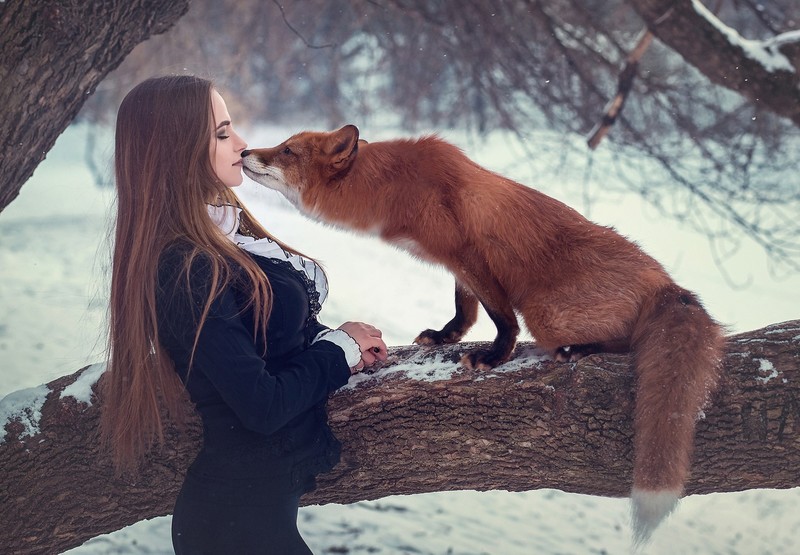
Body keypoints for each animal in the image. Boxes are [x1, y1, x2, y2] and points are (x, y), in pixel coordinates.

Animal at [241, 125, 725, 545]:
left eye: (287, 151)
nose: (245, 151)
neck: (395, 187)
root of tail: (667, 285)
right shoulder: (458, 267)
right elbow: (465, 309)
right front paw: (446, 336)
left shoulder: (471, 256)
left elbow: (500, 317)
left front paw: (494, 356)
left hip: (546, 313)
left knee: (625, 342)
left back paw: (581, 349)